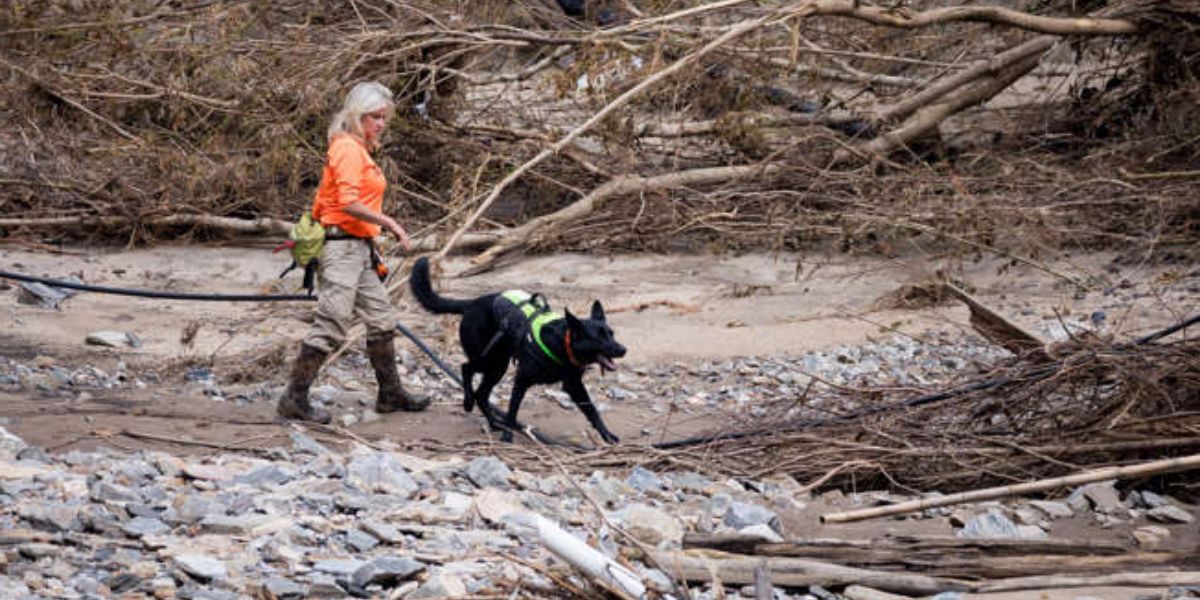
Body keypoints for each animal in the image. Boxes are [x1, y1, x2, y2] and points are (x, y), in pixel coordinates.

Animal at [410, 255, 624, 444]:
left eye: (611, 334)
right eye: (599, 338)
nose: (623, 350)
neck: (562, 342)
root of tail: (472, 303)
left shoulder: (574, 385)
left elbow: (591, 410)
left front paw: (607, 434)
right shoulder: (522, 379)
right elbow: (513, 411)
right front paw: (508, 435)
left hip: (497, 366)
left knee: (482, 394)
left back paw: (494, 423)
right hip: (489, 361)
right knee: (466, 368)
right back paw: (469, 402)